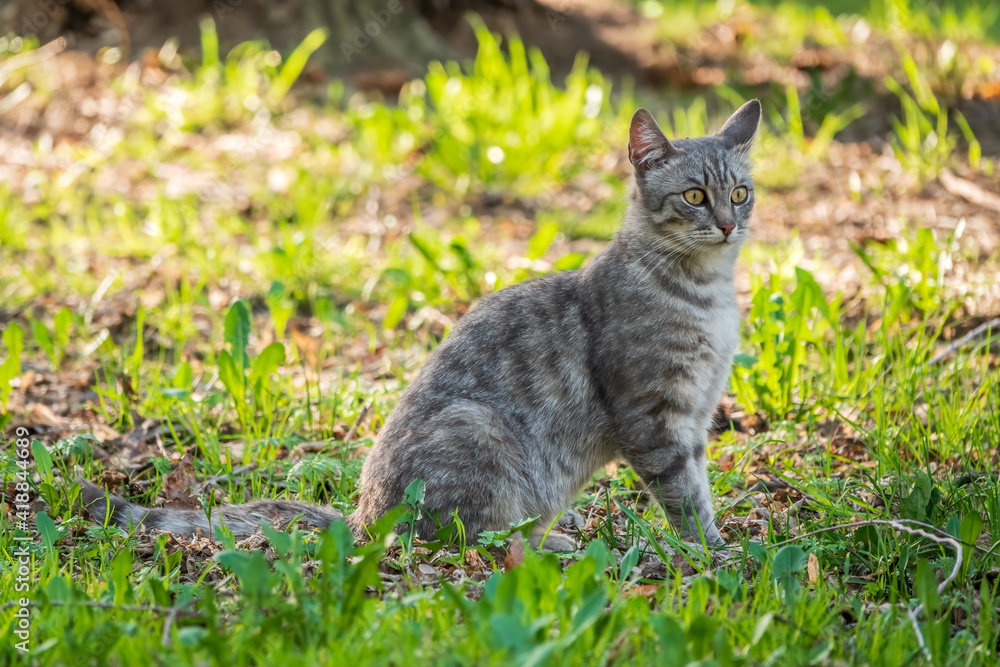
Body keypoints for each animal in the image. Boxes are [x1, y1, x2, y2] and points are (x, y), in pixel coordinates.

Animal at [82, 98, 760, 548]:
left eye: (741, 193)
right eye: (694, 196)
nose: (729, 224)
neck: (708, 293)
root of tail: (362, 517)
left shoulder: (696, 415)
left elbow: (699, 485)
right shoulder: (655, 417)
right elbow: (684, 496)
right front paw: (716, 553)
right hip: (480, 432)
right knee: (462, 535)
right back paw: (549, 542)